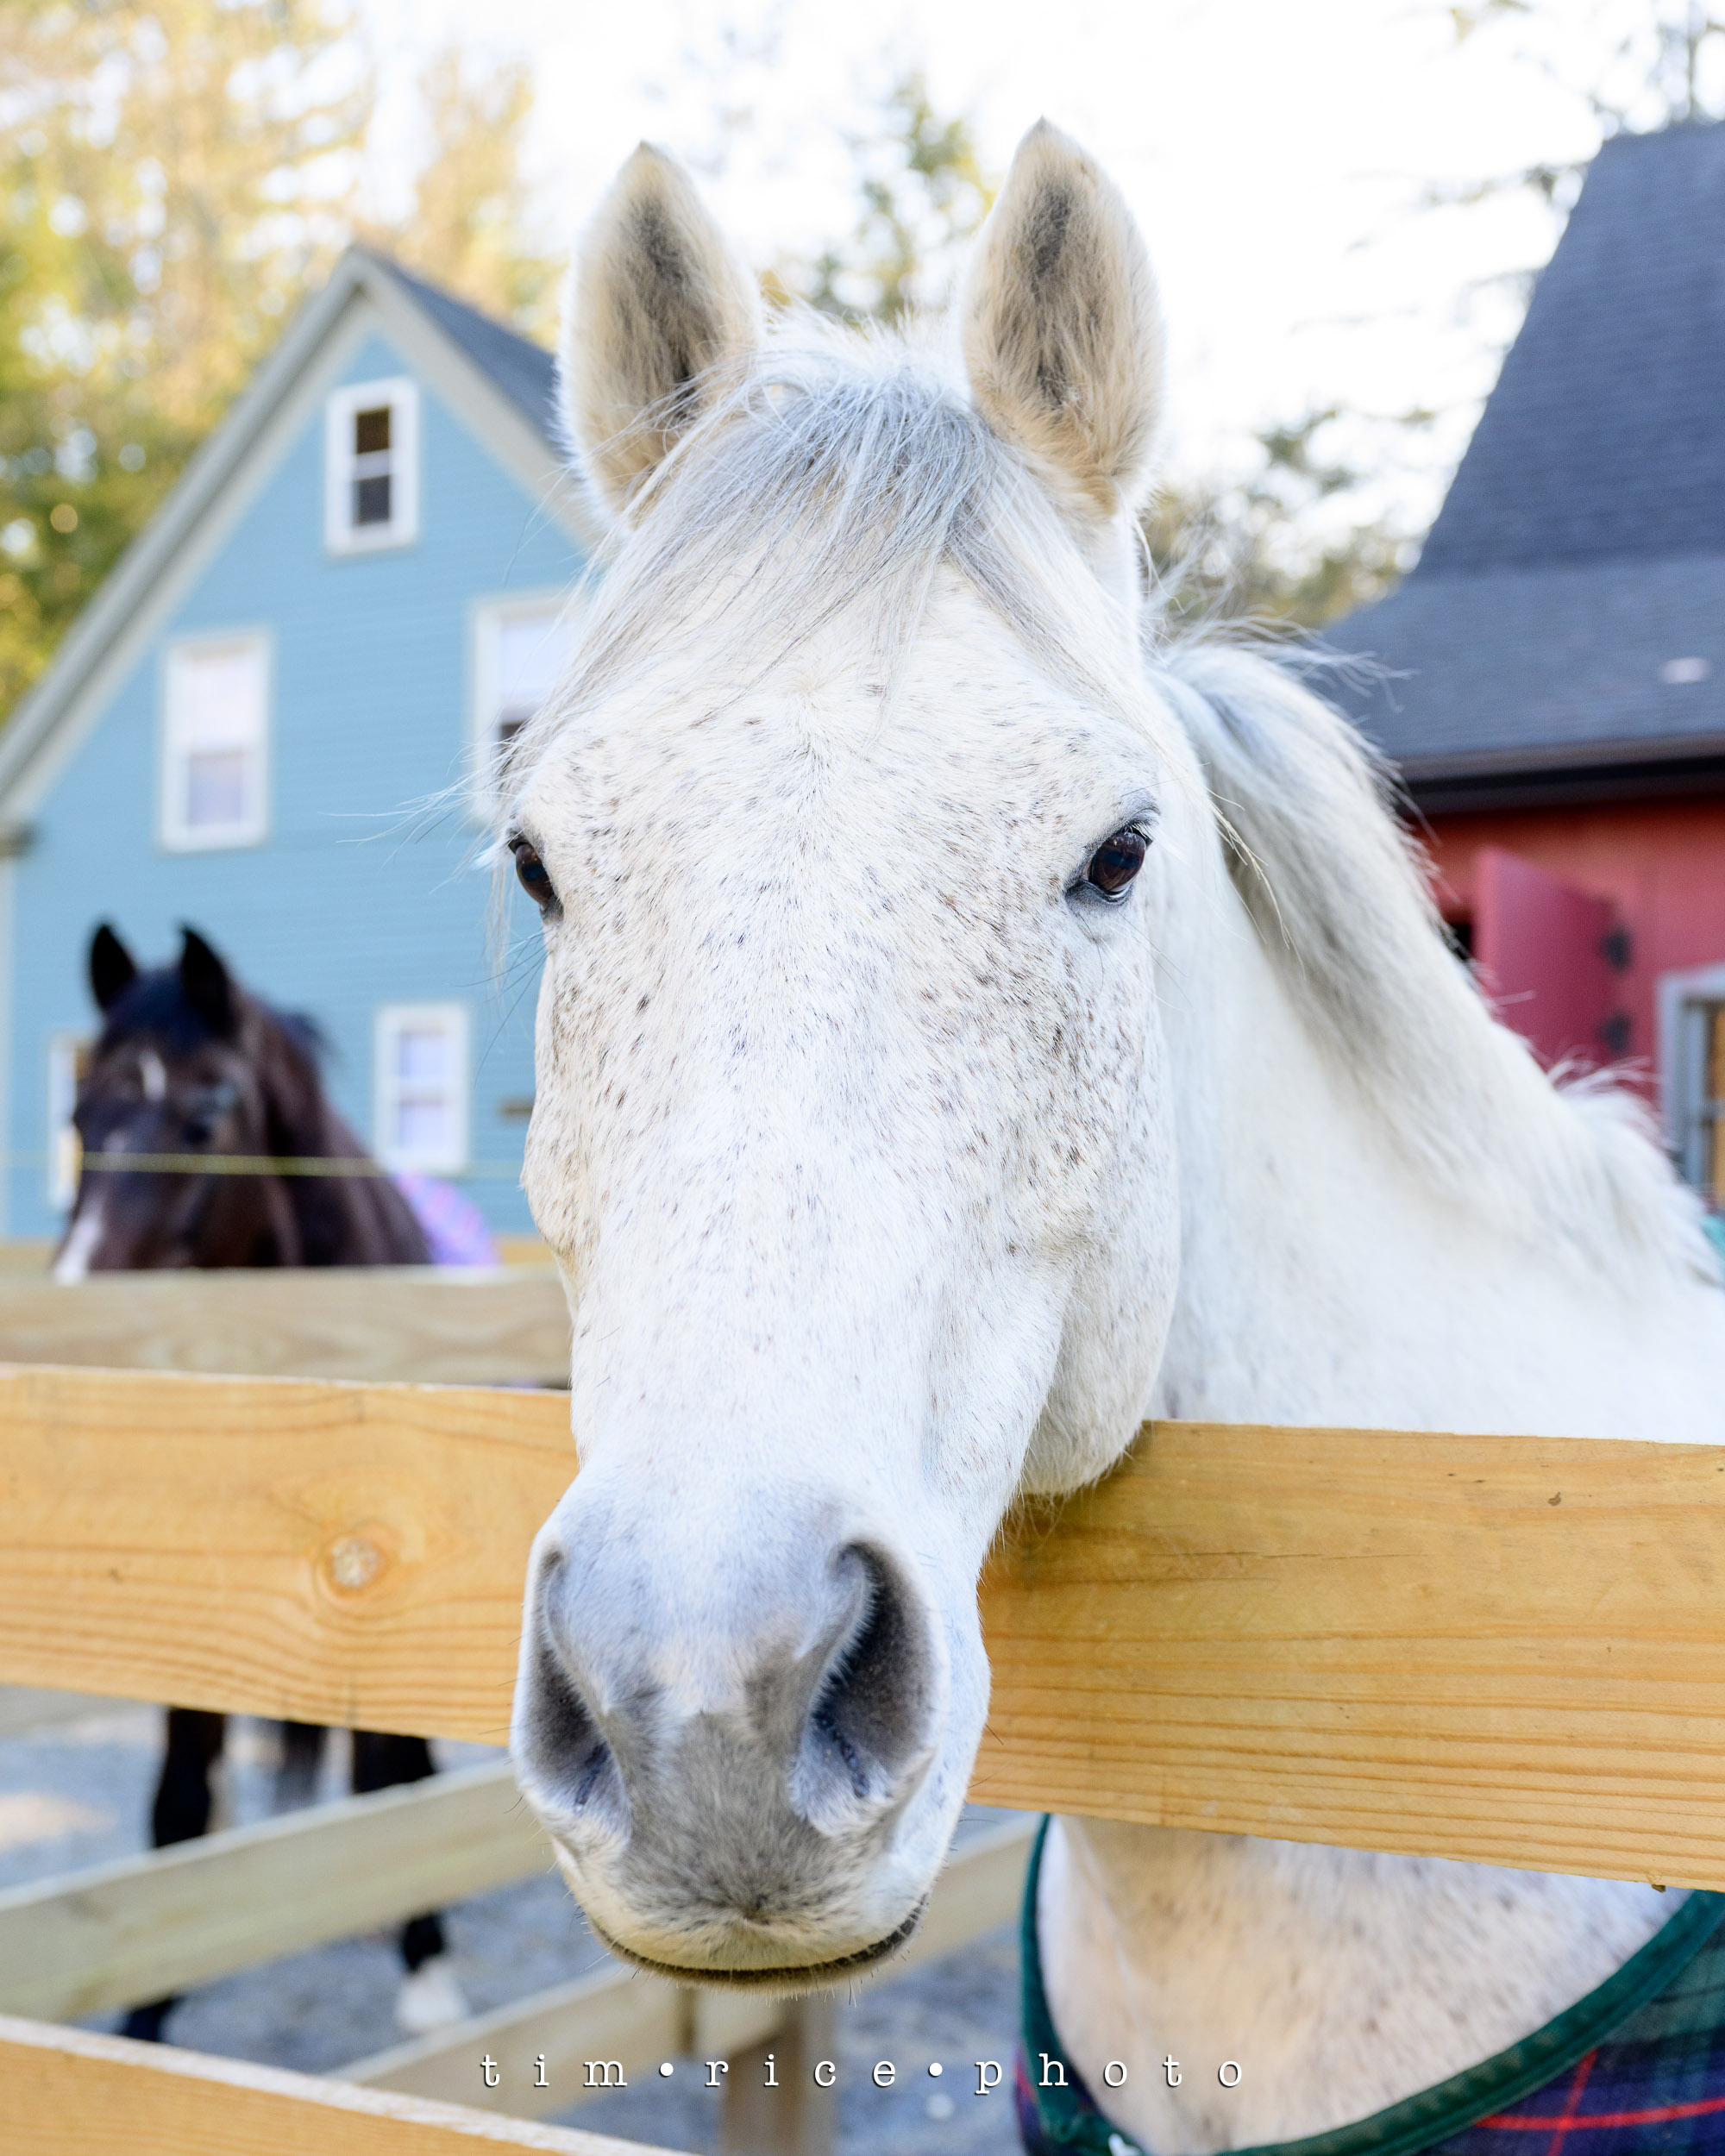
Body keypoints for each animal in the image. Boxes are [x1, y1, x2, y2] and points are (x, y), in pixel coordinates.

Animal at [55, 924, 469, 2042]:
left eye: (202, 1118)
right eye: (79, 1117)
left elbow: (393, 1770)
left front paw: (426, 1964)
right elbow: (176, 1801)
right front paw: (146, 2012)